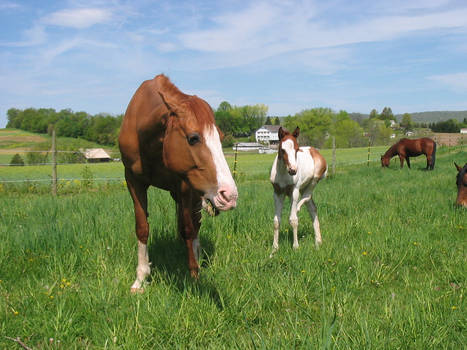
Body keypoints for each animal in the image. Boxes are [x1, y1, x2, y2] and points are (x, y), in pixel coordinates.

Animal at [119, 74, 238, 292]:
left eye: (220, 138)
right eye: (193, 138)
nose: (230, 195)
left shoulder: (183, 185)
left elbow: (188, 229)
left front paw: (194, 274)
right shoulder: (133, 181)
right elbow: (142, 227)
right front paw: (141, 279)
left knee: (195, 224)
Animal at [270, 127, 330, 256]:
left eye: (297, 149)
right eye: (282, 150)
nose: (293, 170)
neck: (283, 174)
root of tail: (315, 151)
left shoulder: (294, 191)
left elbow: (293, 220)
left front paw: (296, 247)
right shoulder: (277, 193)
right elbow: (276, 221)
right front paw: (274, 248)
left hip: (313, 180)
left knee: (307, 197)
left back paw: (297, 207)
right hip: (303, 187)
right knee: (312, 207)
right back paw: (318, 242)